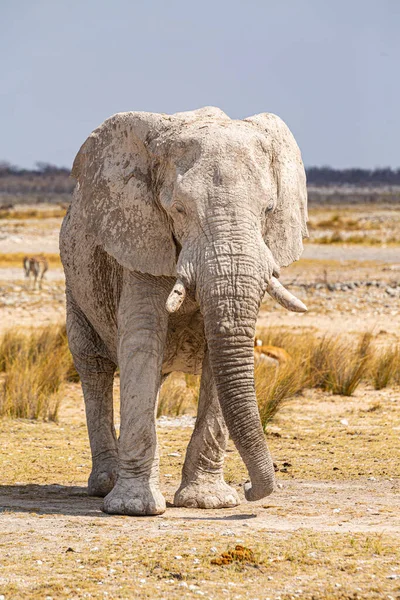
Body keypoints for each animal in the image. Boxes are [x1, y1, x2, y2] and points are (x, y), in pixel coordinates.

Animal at [59, 106, 308, 516]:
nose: (250, 489)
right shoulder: (140, 236)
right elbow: (142, 340)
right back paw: (105, 485)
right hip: (75, 284)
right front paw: (134, 509)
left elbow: (217, 356)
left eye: (268, 210)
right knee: (94, 367)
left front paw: (209, 502)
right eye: (178, 209)